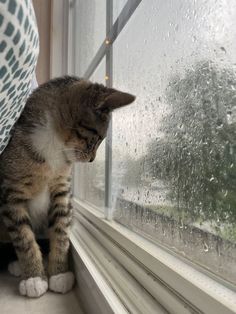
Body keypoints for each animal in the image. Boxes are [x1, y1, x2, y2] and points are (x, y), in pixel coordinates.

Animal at [0, 76, 135, 296]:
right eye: (97, 138)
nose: (92, 159)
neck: (54, 146)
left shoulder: (62, 188)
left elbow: (61, 230)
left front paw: (59, 273)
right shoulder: (11, 191)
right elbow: (23, 237)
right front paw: (34, 277)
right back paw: (17, 264)